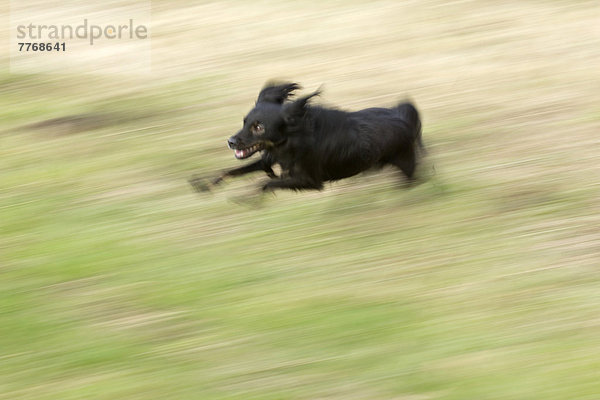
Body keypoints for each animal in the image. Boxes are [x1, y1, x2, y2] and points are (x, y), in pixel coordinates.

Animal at [190, 81, 424, 194]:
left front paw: (248, 198)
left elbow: (266, 184)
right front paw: (204, 185)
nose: (230, 141)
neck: (292, 139)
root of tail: (403, 115)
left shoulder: (311, 181)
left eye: (259, 127)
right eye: (244, 122)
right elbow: (229, 171)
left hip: (406, 164)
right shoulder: (270, 160)